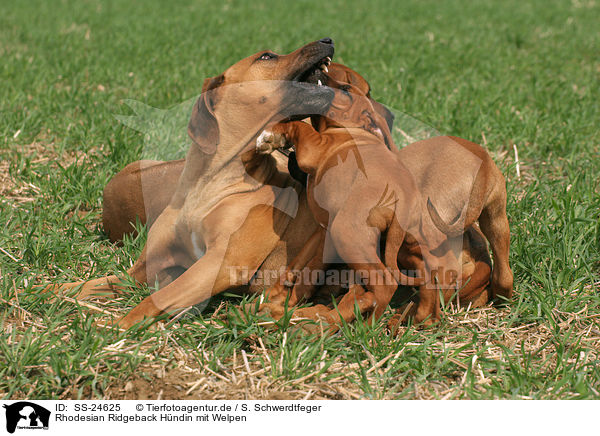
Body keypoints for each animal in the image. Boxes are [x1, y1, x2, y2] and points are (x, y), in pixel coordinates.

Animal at [45, 39, 342, 328]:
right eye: (267, 56)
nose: (327, 39)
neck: (209, 186)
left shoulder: (221, 264)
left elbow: (156, 298)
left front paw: (116, 326)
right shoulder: (144, 269)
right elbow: (87, 284)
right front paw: (44, 290)